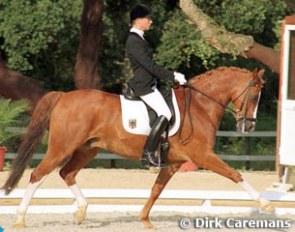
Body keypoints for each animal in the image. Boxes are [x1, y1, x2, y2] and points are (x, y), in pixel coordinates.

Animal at [2, 66, 276, 227]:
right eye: (255, 95)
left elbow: (156, 190)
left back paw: (81, 211)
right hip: (63, 147)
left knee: (65, 173)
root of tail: (63, 96)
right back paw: (20, 218)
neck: (199, 106)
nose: (248, 126)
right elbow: (235, 174)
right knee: (38, 174)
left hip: (88, 149)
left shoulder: (173, 163)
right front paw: (265, 205)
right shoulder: (203, 156)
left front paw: (144, 219)